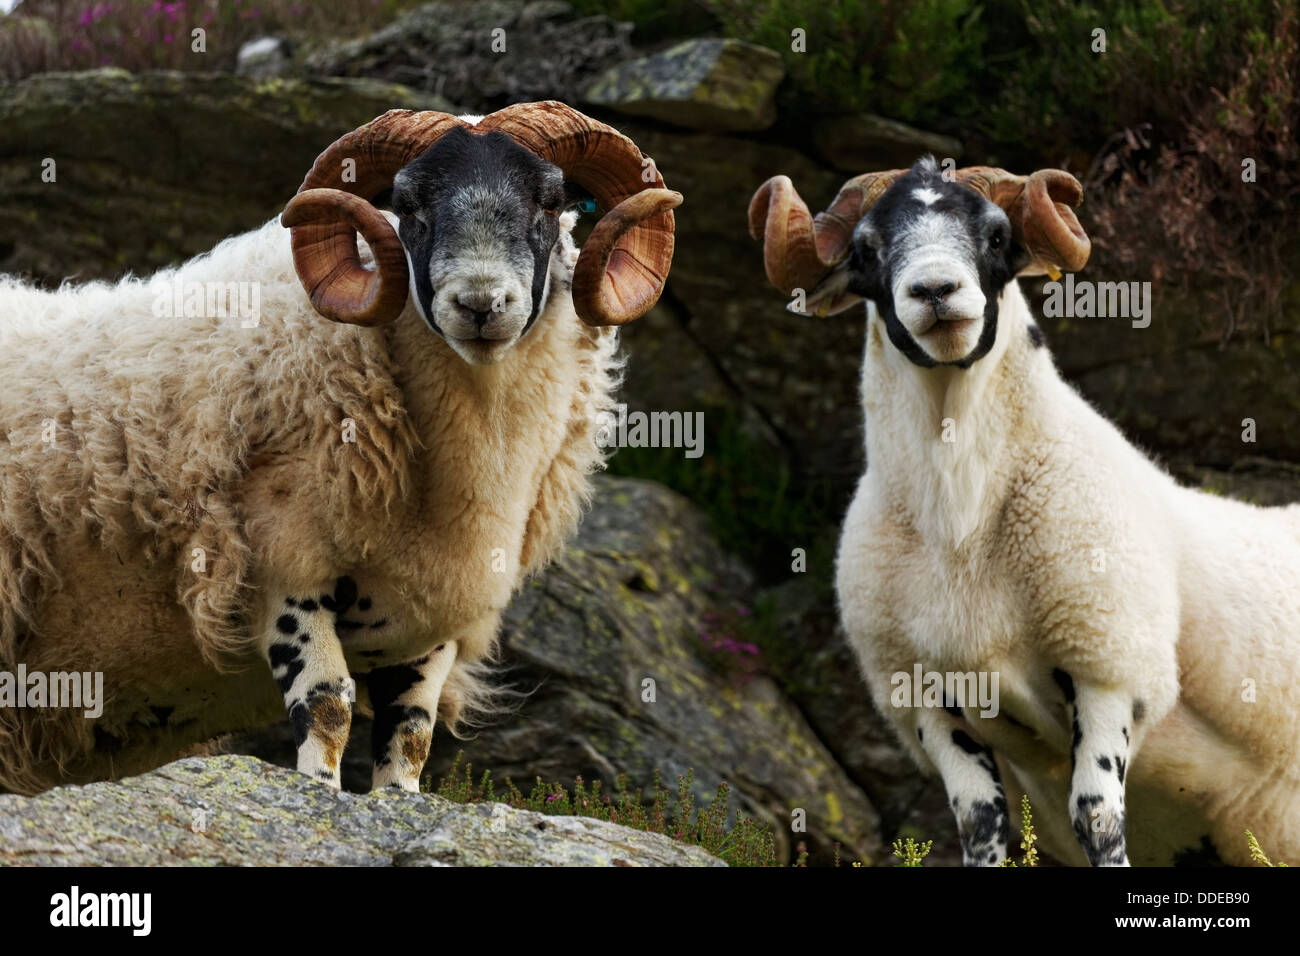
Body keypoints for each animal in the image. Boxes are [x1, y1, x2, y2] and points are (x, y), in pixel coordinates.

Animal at [0, 101, 681, 796]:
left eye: (548, 203)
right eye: (409, 206)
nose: (481, 304)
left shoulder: (424, 617)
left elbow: (410, 735)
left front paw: (396, 801)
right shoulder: (285, 566)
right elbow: (328, 705)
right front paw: (318, 795)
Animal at [750, 156, 1300, 866]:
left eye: (995, 234)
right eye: (866, 248)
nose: (935, 291)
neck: (962, 521)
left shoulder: (1106, 666)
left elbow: (1095, 816)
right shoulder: (927, 698)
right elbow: (980, 822)